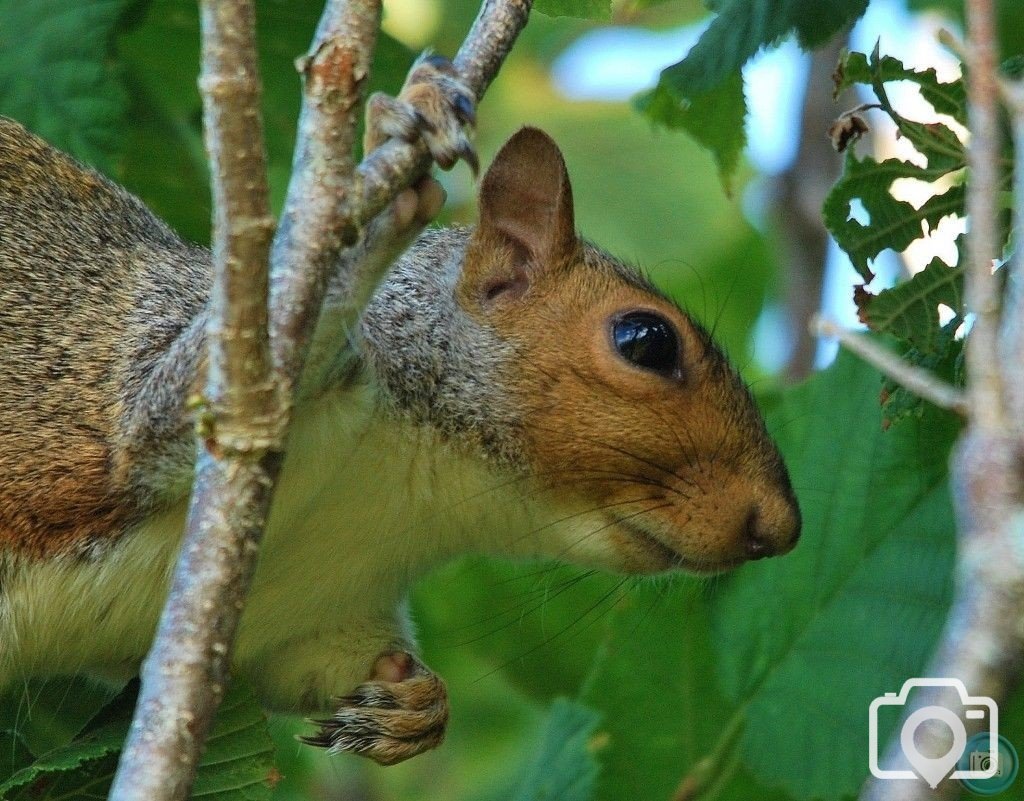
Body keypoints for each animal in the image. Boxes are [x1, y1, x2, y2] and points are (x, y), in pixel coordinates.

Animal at [0, 54, 798, 766]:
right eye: (647, 340)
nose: (782, 528)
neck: (403, 491)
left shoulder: (317, 614)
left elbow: (322, 668)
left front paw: (416, 708)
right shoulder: (171, 386)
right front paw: (395, 171)